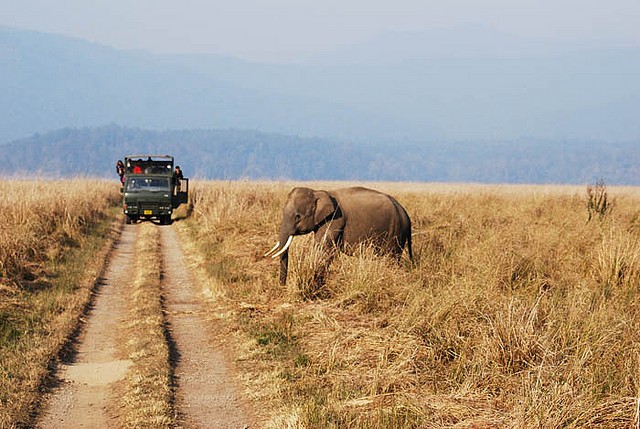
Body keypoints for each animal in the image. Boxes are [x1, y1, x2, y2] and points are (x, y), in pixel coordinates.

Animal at [264, 186, 416, 284]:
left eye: (298, 216)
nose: (282, 286)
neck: (318, 192)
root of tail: (406, 215)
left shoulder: (334, 220)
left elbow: (323, 249)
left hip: (395, 233)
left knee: (391, 258)